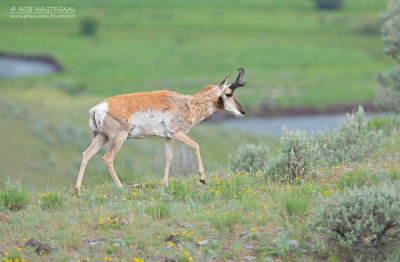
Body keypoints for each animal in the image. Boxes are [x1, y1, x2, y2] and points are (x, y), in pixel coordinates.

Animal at [73, 67, 245, 196]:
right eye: (228, 94)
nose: (243, 112)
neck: (187, 104)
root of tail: (97, 109)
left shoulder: (169, 138)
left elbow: (169, 157)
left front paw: (166, 185)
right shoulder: (177, 133)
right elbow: (196, 145)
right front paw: (202, 178)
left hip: (101, 137)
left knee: (86, 154)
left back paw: (78, 191)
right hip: (117, 139)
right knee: (107, 159)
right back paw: (121, 188)